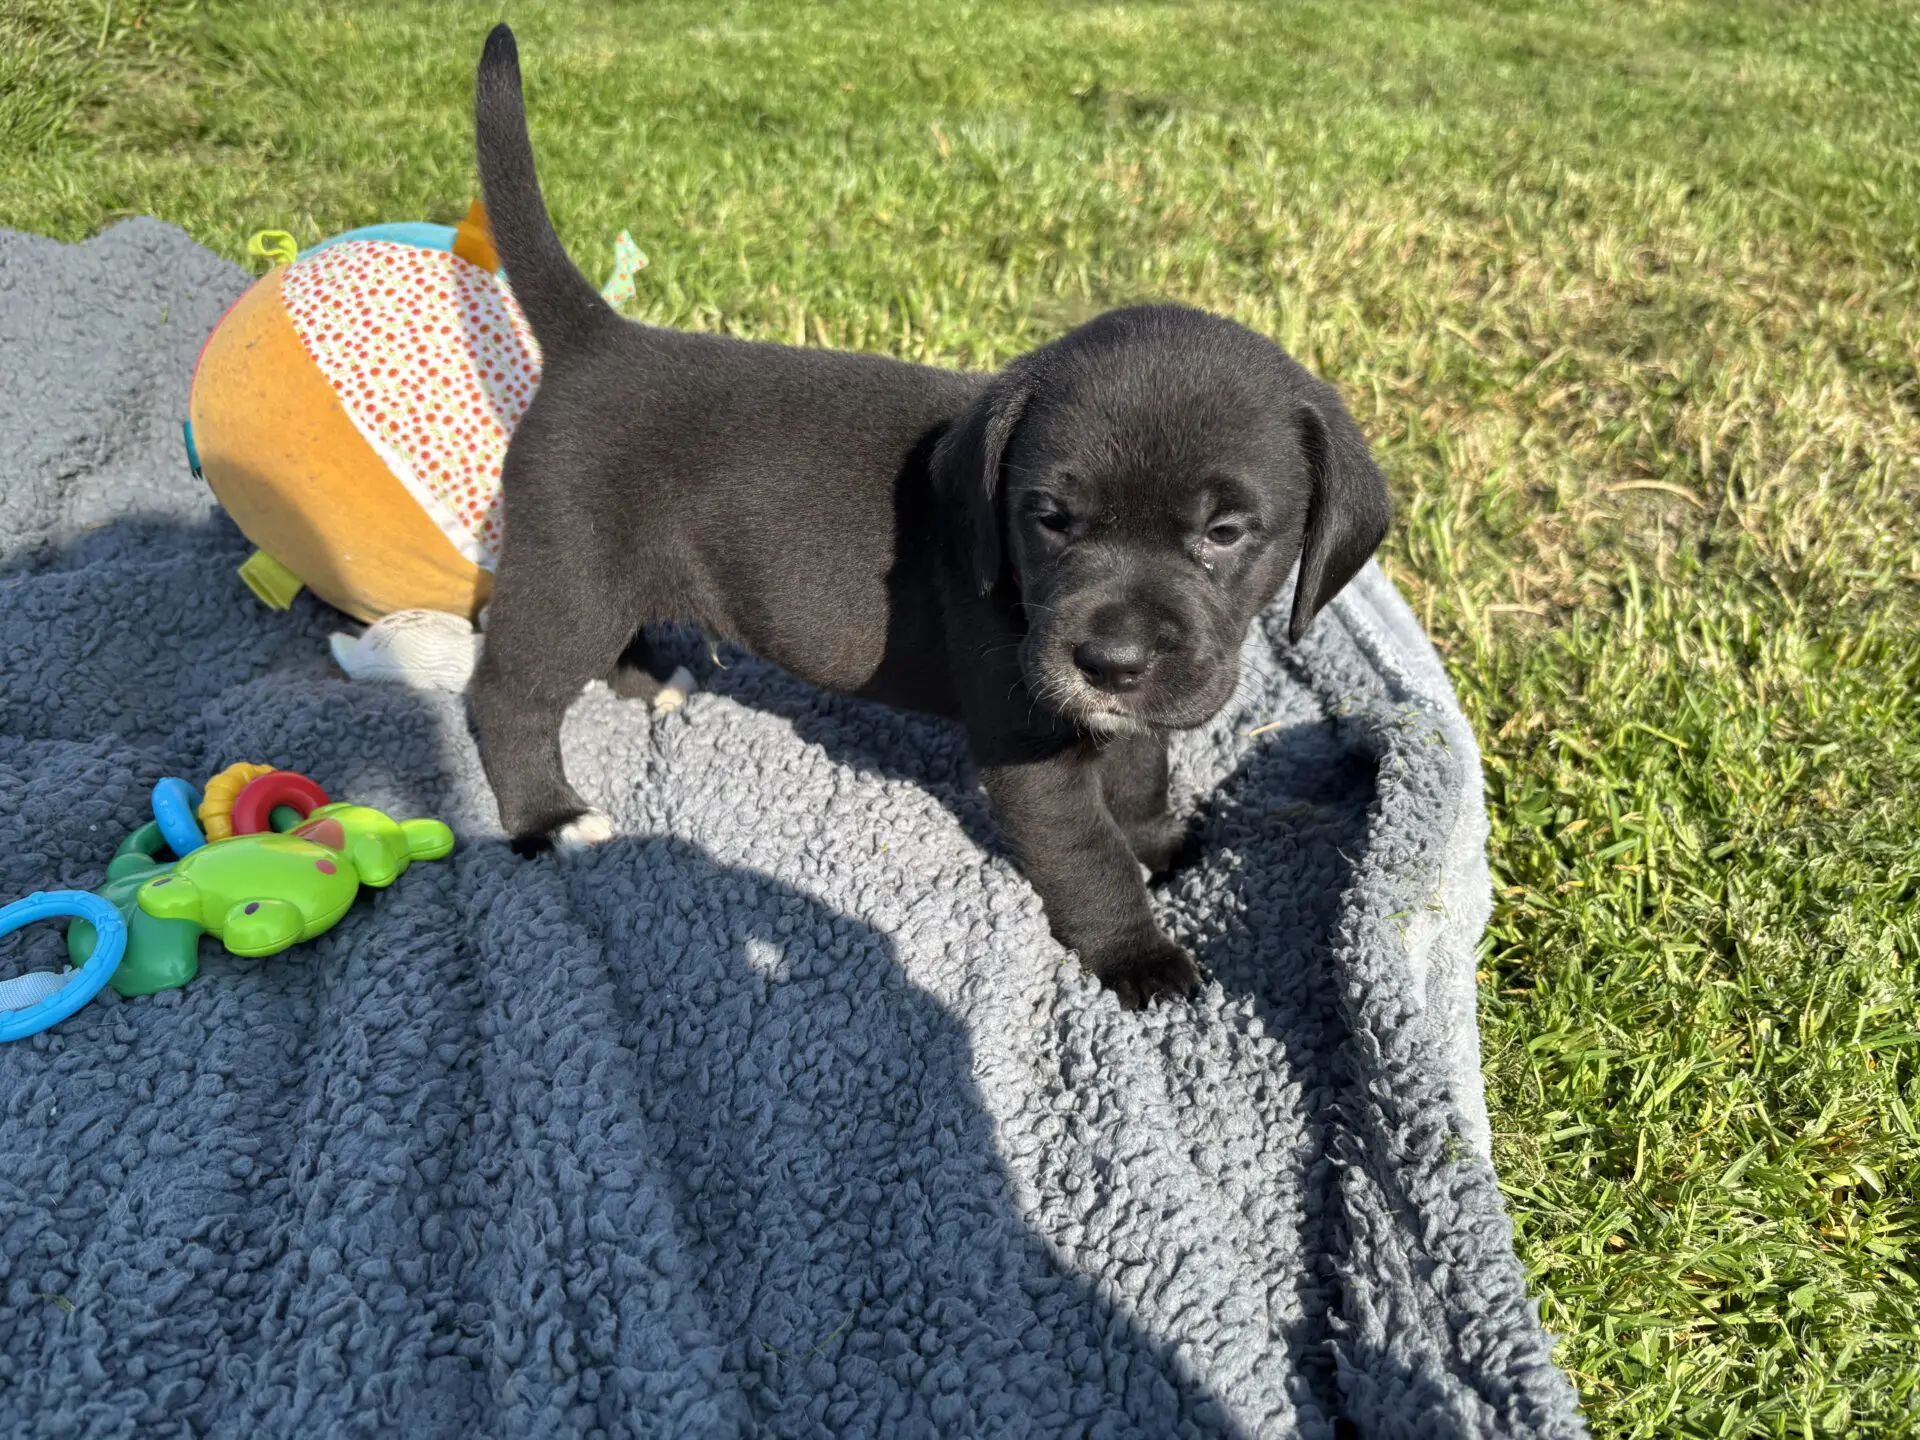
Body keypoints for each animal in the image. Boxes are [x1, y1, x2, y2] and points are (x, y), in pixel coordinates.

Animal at [468, 24, 1390, 1008]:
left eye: (1224, 533)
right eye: (1049, 518)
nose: (1109, 661)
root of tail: (602, 339)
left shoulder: (1129, 714)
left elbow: (1141, 779)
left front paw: (1163, 843)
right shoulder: (1030, 753)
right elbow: (1090, 860)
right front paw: (1137, 953)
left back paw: (652, 683)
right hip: (572, 570)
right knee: (508, 696)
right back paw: (550, 815)